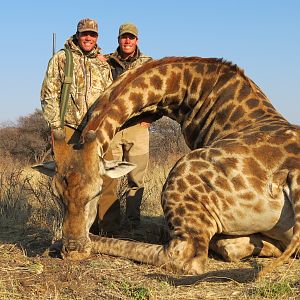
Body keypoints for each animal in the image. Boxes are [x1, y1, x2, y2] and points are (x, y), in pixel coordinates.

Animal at [52, 57, 300, 278]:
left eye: (97, 192)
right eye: (56, 196)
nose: (73, 249)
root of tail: (292, 174)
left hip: (177, 176)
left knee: (183, 258)